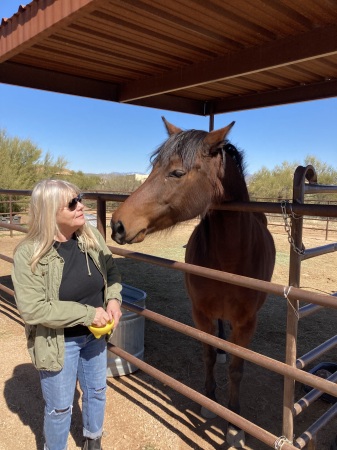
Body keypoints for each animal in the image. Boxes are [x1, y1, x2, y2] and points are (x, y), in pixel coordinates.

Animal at [111, 116, 274, 446]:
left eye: (177, 172)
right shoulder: (201, 314)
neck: (228, 259)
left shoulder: (247, 323)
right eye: (153, 166)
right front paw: (208, 402)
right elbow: (208, 354)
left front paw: (235, 424)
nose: (117, 224)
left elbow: (237, 369)